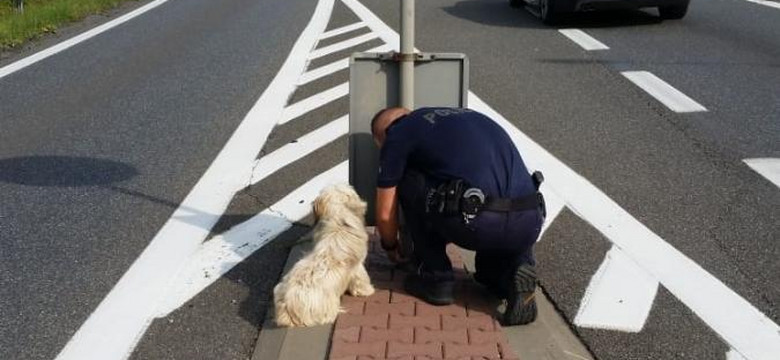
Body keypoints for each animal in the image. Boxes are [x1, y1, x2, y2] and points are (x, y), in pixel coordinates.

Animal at [272, 184, 374, 328]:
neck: (338, 221)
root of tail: (287, 306)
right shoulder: (357, 266)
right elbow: (361, 280)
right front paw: (367, 291)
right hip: (327, 305)